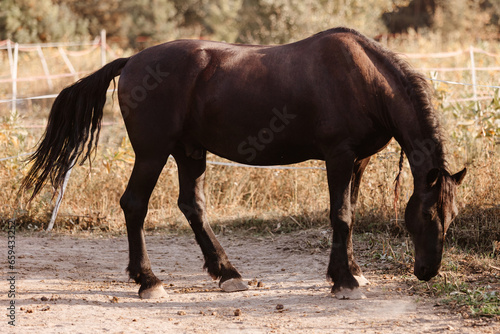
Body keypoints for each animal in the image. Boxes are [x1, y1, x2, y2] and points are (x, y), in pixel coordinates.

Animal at [18, 28, 464, 300]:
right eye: (426, 214)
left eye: (452, 216)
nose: (427, 271)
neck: (364, 78)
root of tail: (131, 62)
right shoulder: (339, 157)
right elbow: (340, 215)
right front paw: (344, 281)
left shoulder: (359, 162)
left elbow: (349, 212)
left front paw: (353, 271)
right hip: (152, 153)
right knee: (134, 205)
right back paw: (149, 281)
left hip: (190, 152)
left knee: (192, 206)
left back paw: (227, 273)